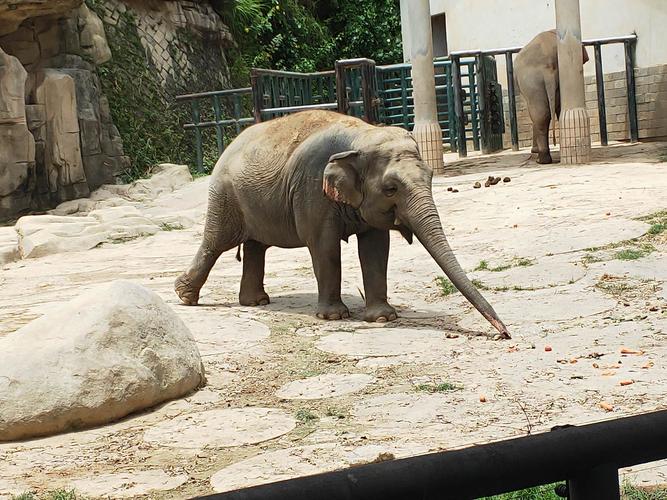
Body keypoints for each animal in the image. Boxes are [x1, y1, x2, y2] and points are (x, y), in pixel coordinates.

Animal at [174, 110, 512, 340]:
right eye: (391, 188)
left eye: (430, 177)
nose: (504, 333)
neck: (362, 137)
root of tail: (230, 145)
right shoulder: (311, 189)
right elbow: (323, 247)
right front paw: (334, 317)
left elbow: (376, 249)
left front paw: (383, 318)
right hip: (225, 196)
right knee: (217, 242)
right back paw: (185, 296)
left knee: (256, 246)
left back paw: (255, 302)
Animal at [516, 29, 588, 164]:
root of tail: (547, 66)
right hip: (536, 81)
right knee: (543, 113)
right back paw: (545, 158)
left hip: (531, 81)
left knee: (539, 114)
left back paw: (541, 160)